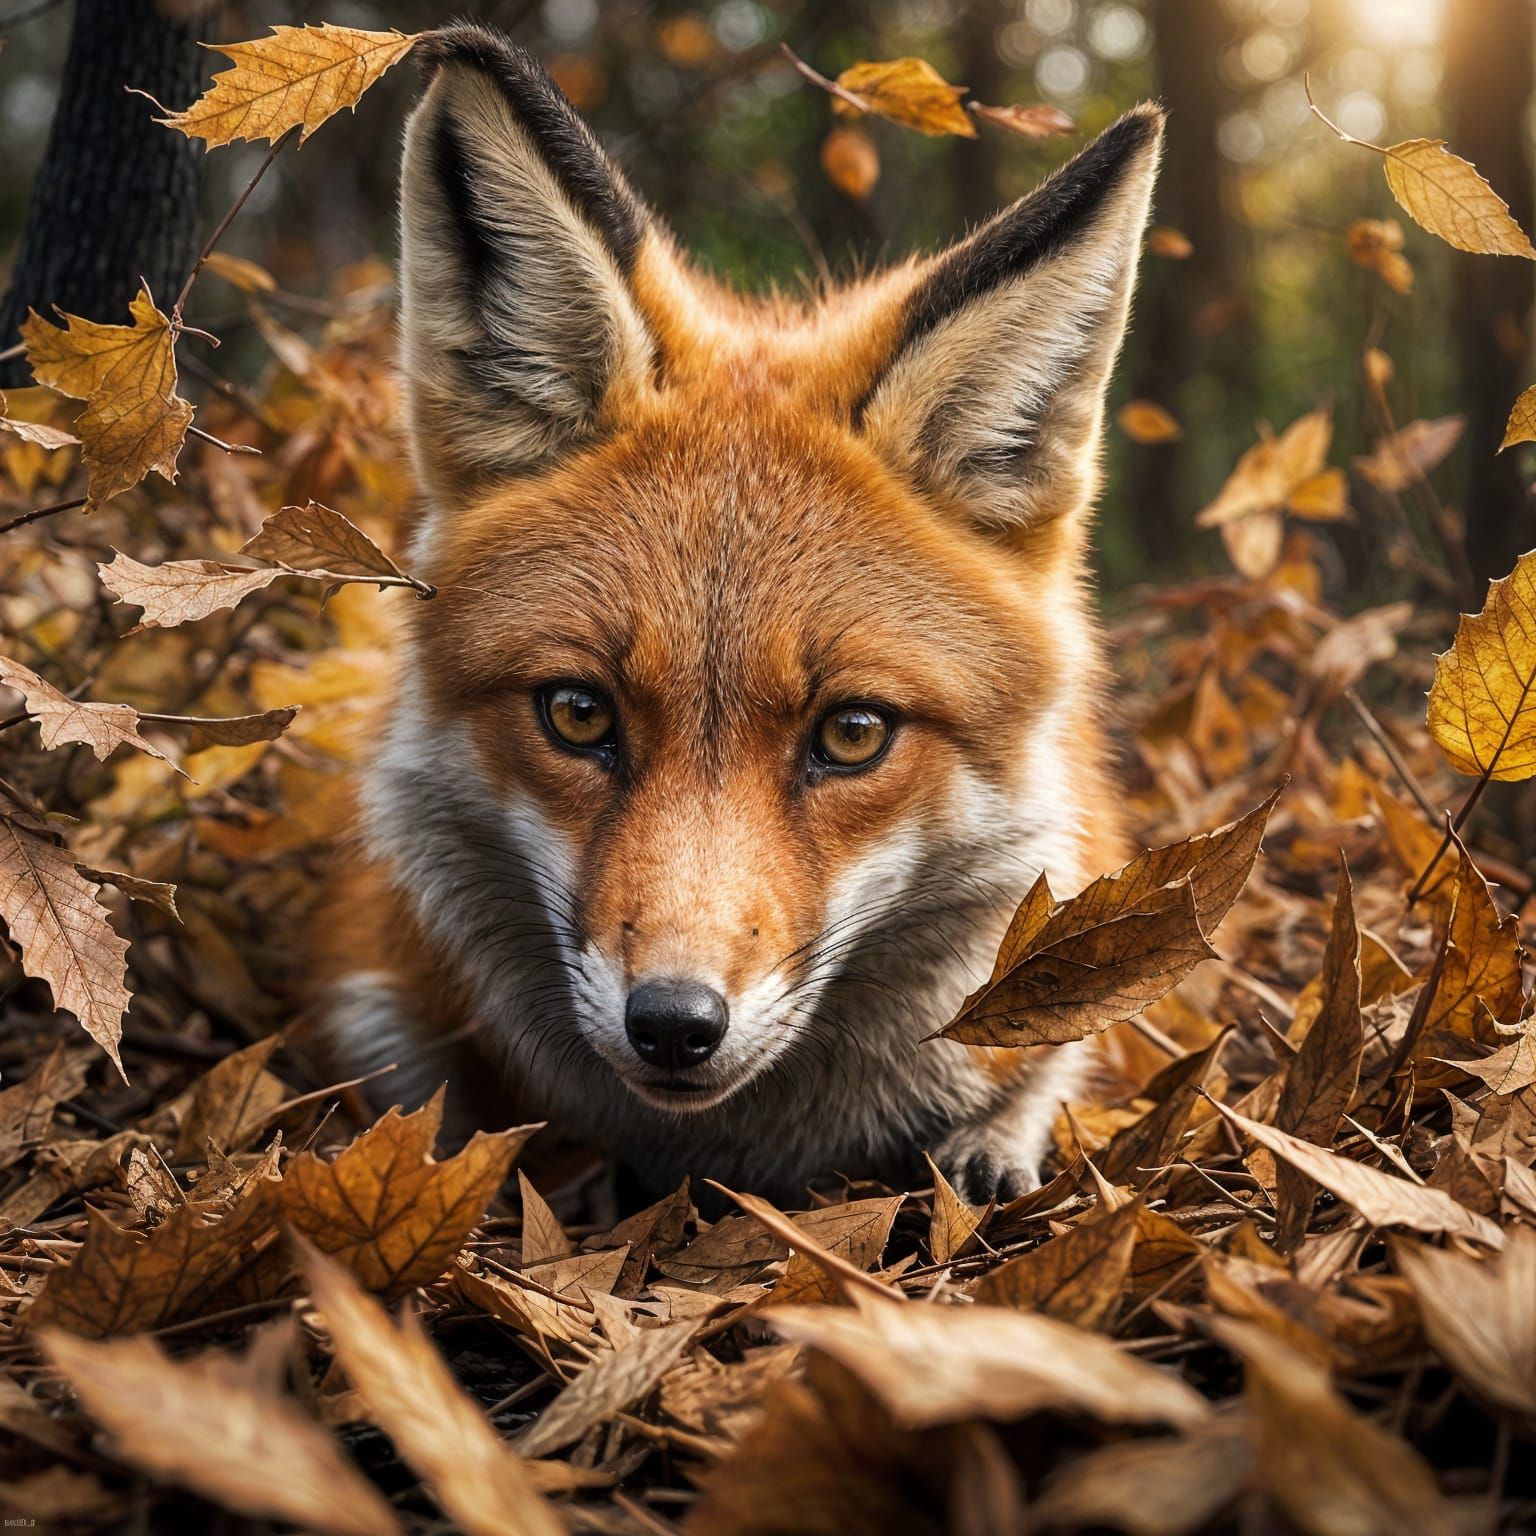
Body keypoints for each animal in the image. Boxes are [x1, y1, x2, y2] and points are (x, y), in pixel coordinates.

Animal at [317, 21, 1163, 1206]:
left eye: (852, 735)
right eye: (577, 713)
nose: (675, 1025)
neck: (724, 1158)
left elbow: (1047, 1075)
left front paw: (995, 1142)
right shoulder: (374, 996)